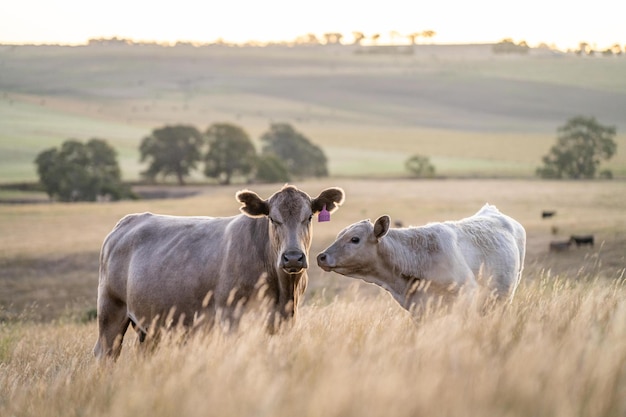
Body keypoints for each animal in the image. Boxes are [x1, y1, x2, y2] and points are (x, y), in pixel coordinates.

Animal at [94, 184, 344, 360]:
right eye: (273, 219)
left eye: (309, 217)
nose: (293, 256)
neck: (283, 289)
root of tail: (128, 221)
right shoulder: (230, 316)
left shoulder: (284, 319)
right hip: (111, 309)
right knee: (105, 353)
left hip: (150, 325)